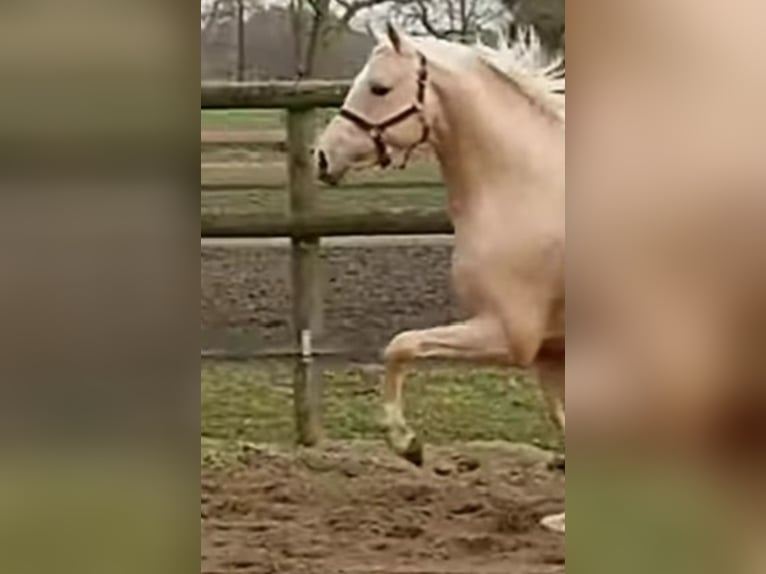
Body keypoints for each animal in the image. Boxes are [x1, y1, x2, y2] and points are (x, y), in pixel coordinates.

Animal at [314, 23, 565, 533]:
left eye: (379, 88)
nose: (323, 157)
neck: (527, 192)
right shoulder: (549, 351)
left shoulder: (508, 335)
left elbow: (400, 345)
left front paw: (407, 445)